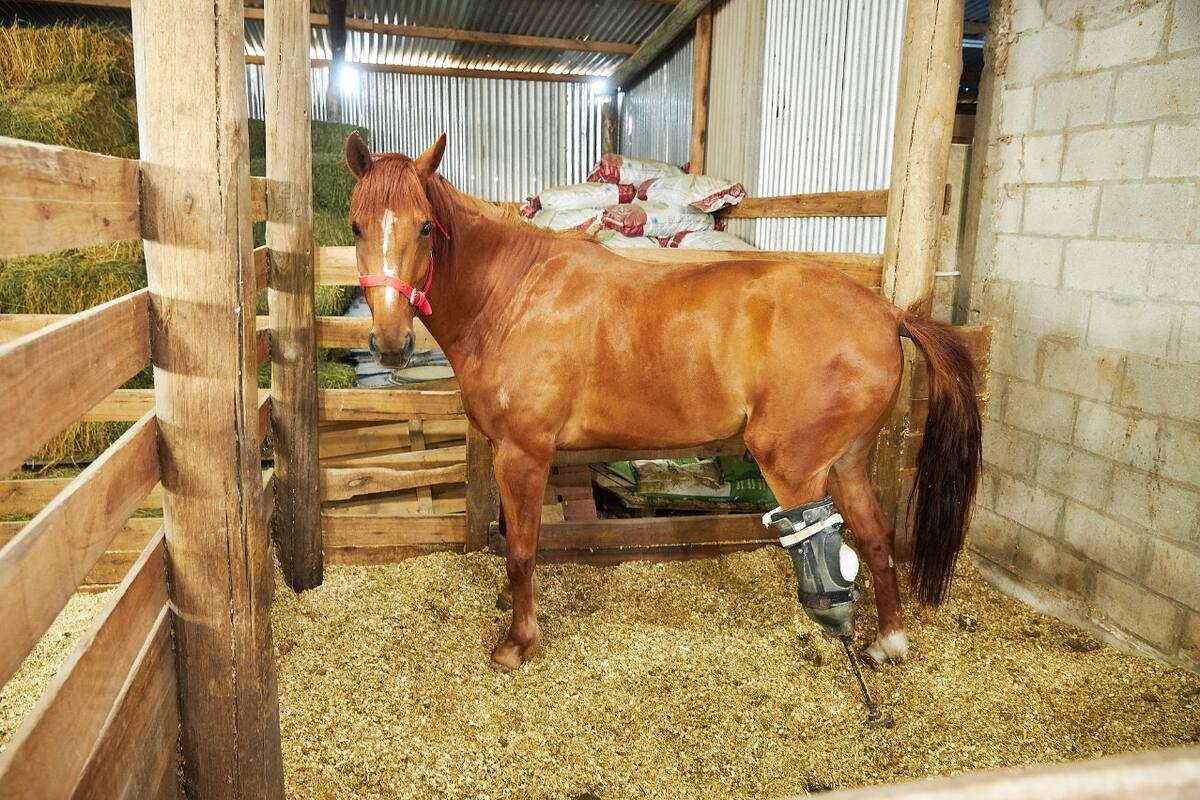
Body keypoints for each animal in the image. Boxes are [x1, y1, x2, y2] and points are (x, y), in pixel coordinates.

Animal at [343, 132, 981, 672]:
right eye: (355, 226)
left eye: (426, 228)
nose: (392, 343)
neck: (514, 295)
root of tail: (888, 313)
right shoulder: (508, 451)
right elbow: (510, 539)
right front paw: (508, 602)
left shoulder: (524, 454)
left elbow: (523, 548)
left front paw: (517, 643)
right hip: (845, 462)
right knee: (876, 538)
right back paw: (888, 642)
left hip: (797, 468)